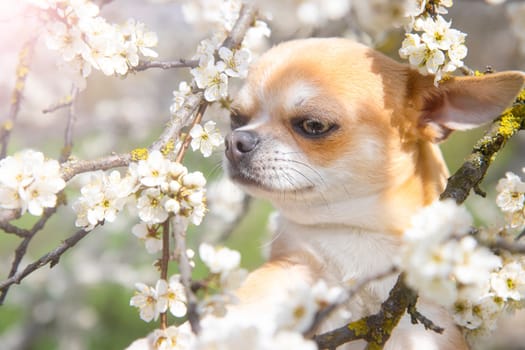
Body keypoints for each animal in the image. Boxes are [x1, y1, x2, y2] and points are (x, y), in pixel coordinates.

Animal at [222, 37, 524, 348]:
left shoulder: (427, 322)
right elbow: (254, 296)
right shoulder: (296, 268)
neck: (358, 230)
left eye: (313, 125)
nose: (234, 141)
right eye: (236, 119)